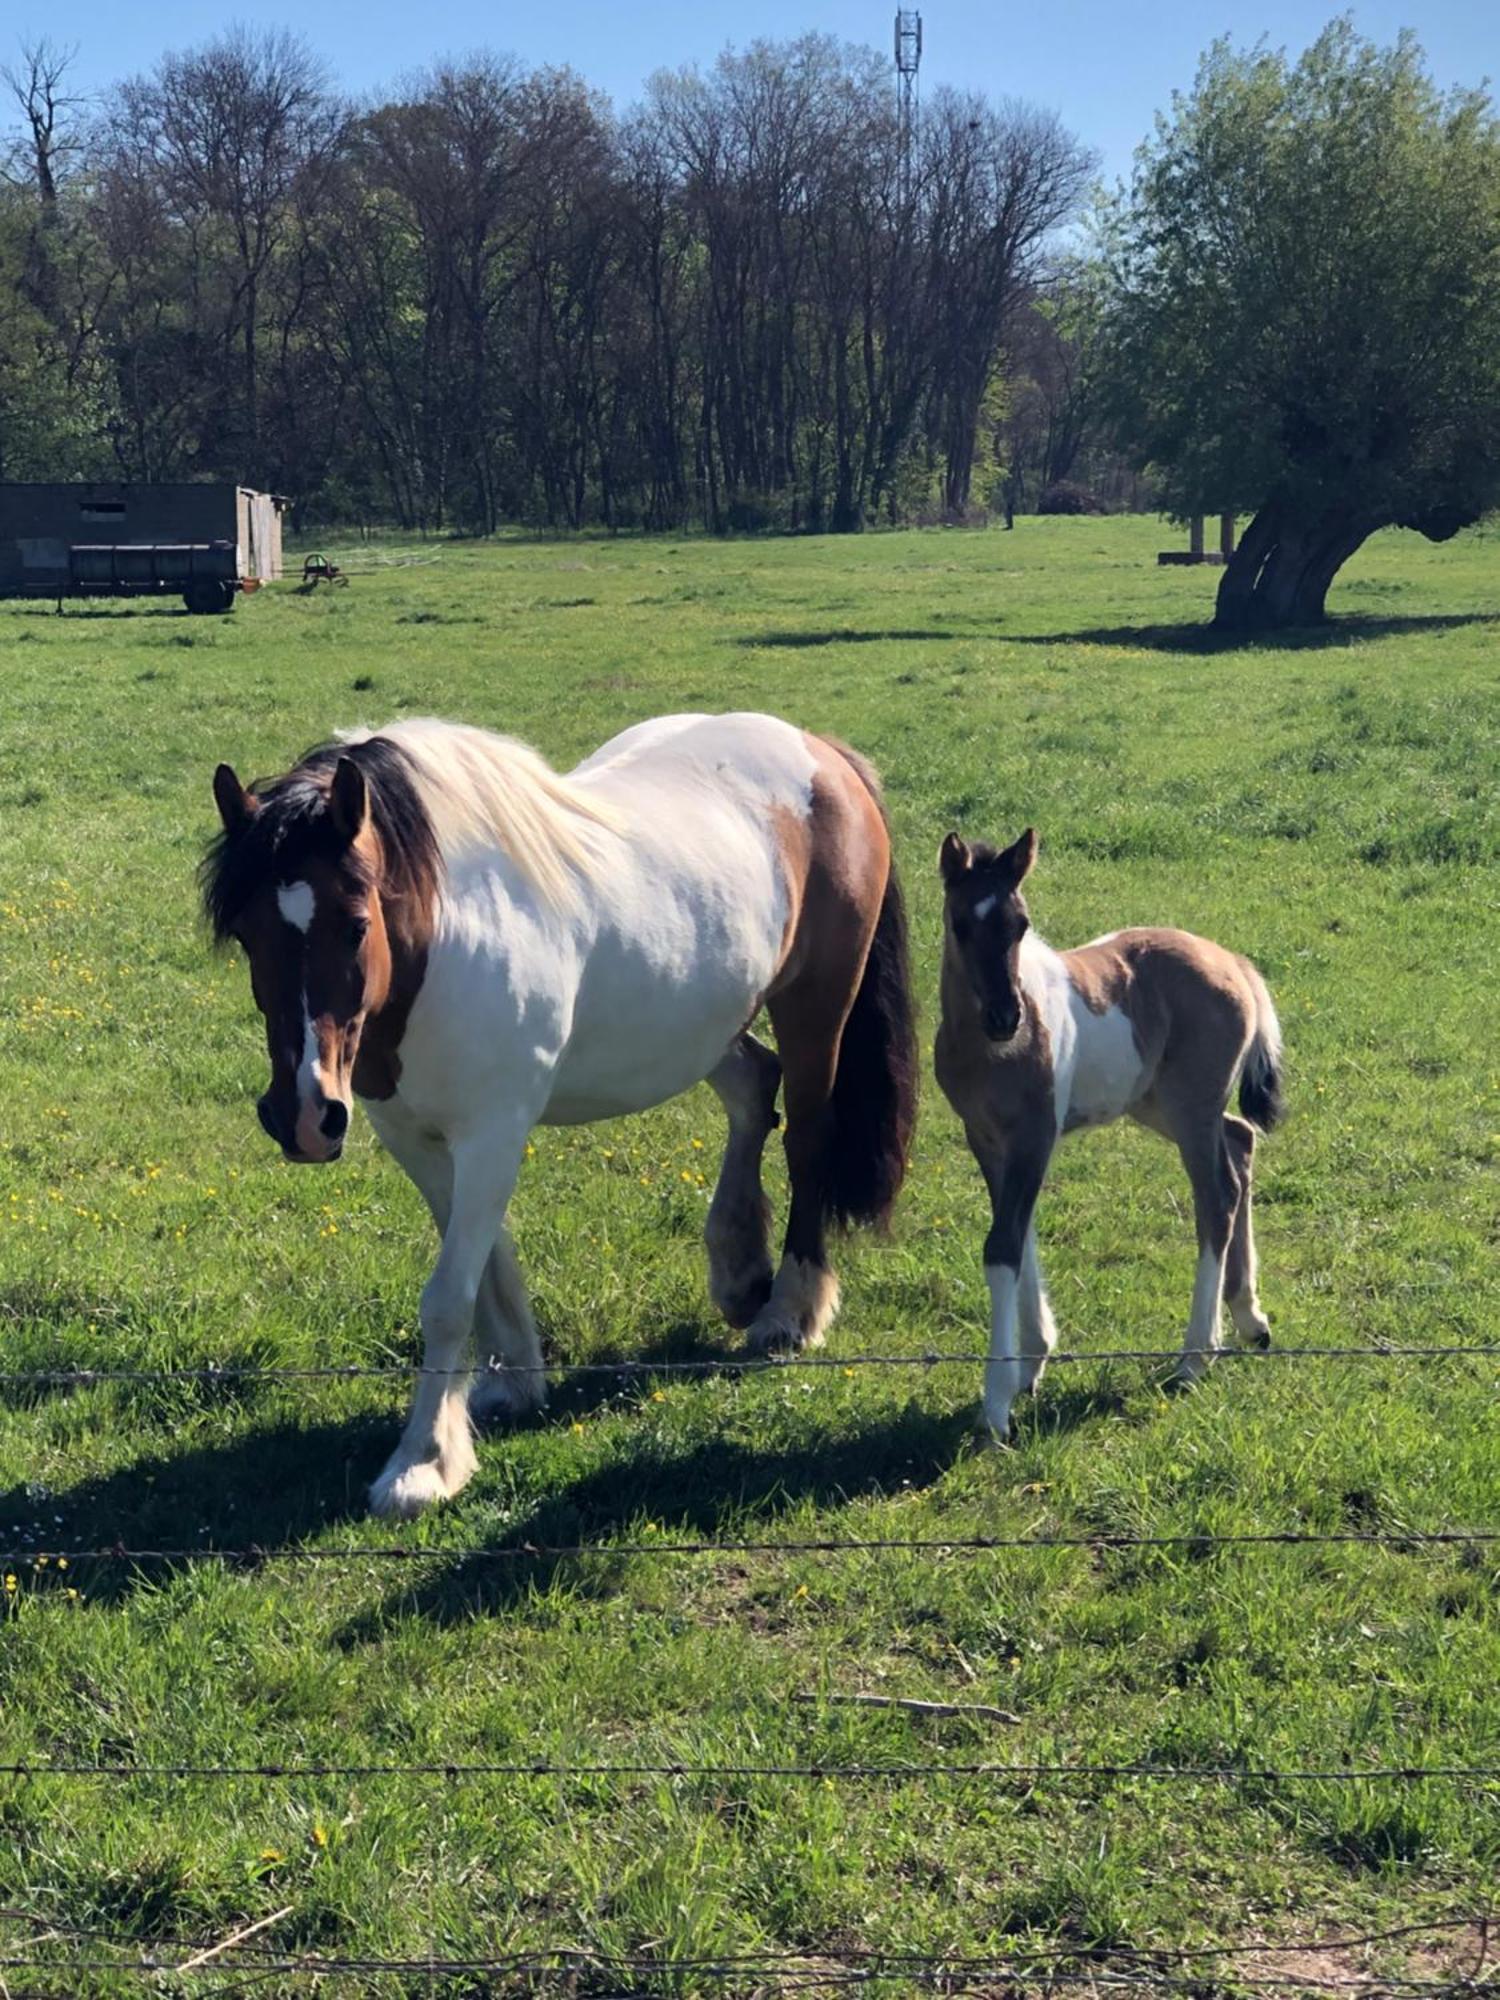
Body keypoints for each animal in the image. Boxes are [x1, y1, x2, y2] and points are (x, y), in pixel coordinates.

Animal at [206, 720, 924, 1512]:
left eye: (356, 924)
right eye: (246, 933)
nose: (303, 1115)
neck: (445, 934)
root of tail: (822, 752)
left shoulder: (492, 1135)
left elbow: (448, 1298)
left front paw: (422, 1463)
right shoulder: (418, 1139)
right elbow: (485, 1272)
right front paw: (511, 1383)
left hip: (816, 1010)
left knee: (806, 1138)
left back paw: (789, 1311)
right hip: (705, 1024)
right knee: (750, 1092)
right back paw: (739, 1271)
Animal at [936, 828, 1288, 1440]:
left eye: (1021, 924)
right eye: (960, 923)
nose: (1006, 1018)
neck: (987, 1053)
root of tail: (1234, 963)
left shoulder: (1034, 1135)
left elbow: (1003, 1244)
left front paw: (997, 1404)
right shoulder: (985, 1136)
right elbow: (1018, 1232)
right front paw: (1030, 1365)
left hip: (1190, 1110)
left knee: (1216, 1197)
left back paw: (1196, 1355)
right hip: (1159, 1106)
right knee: (1241, 1142)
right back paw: (1249, 1318)